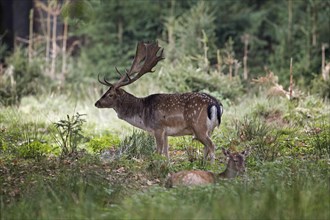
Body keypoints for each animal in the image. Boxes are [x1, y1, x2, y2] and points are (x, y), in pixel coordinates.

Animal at [94, 41, 223, 162]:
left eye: (110, 95)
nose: (96, 103)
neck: (142, 115)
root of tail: (215, 103)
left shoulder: (158, 128)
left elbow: (158, 152)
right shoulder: (166, 133)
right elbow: (166, 154)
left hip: (199, 126)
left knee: (212, 146)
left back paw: (211, 166)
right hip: (210, 129)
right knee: (207, 147)